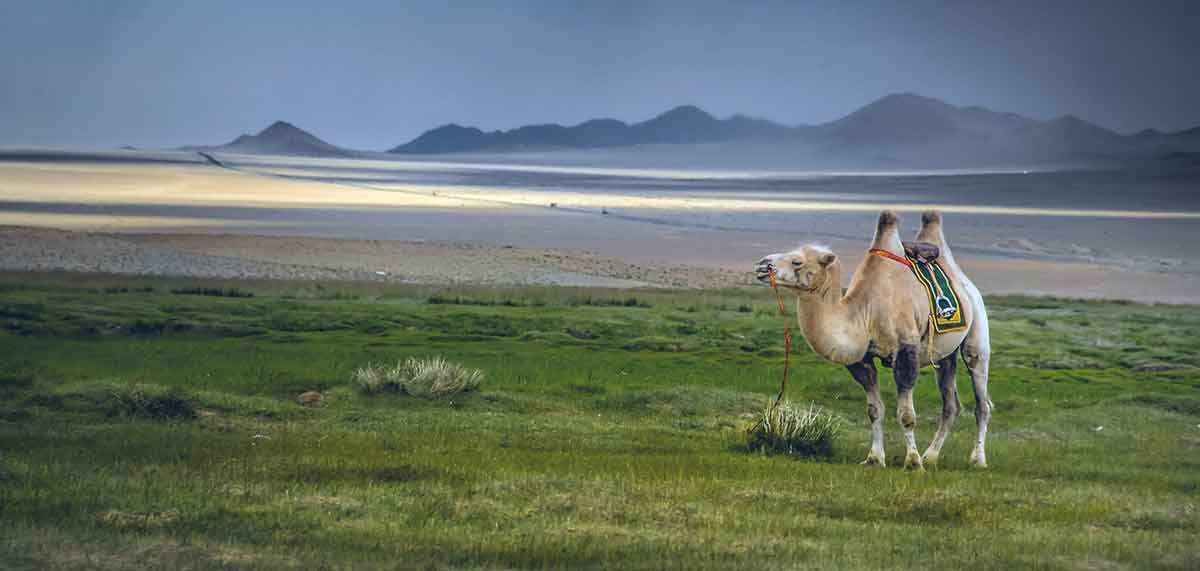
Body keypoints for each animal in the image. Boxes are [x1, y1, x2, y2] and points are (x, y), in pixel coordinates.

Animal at [754, 210, 992, 470]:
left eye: (797, 261)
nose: (762, 265)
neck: (865, 312)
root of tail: (966, 283)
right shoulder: (861, 360)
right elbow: (874, 410)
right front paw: (875, 458)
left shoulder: (906, 351)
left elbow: (906, 415)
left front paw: (912, 462)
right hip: (944, 354)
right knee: (951, 404)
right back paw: (931, 456)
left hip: (977, 331)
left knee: (981, 400)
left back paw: (977, 459)